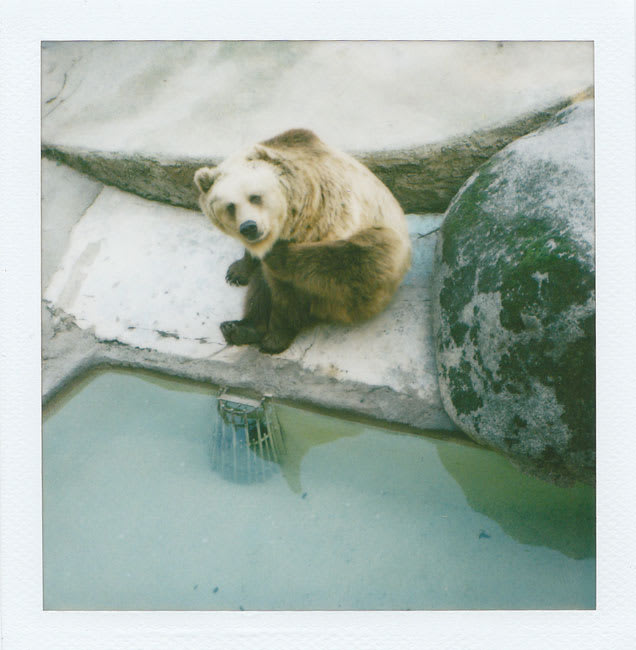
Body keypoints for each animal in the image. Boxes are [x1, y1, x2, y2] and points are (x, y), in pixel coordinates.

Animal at [194, 128, 411, 354]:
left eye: (255, 197)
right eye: (230, 206)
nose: (249, 227)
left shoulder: (323, 220)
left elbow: (294, 285)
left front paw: (277, 334)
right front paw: (236, 272)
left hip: (373, 271)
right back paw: (238, 327)